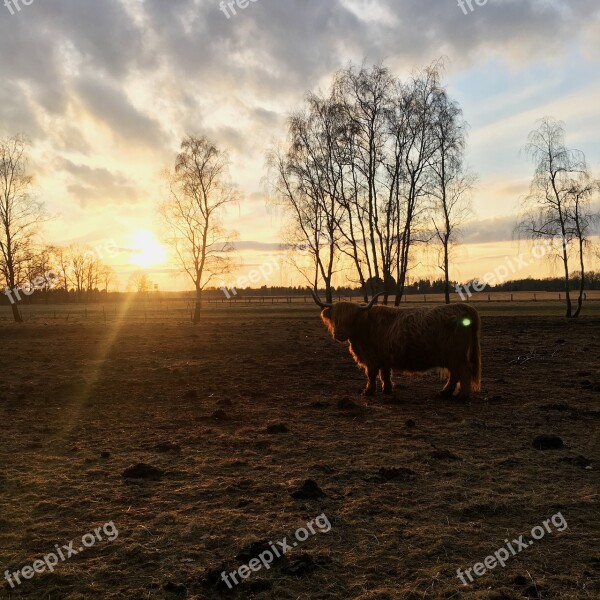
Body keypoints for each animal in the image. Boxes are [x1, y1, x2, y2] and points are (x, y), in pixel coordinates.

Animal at [312, 290, 480, 398]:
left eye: (351, 318)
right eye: (335, 318)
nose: (339, 334)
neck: (365, 326)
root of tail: (464, 307)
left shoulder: (372, 358)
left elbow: (371, 374)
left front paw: (368, 391)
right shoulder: (384, 358)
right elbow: (385, 374)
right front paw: (387, 390)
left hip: (456, 355)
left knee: (462, 371)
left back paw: (462, 396)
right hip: (452, 356)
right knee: (455, 373)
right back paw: (445, 393)